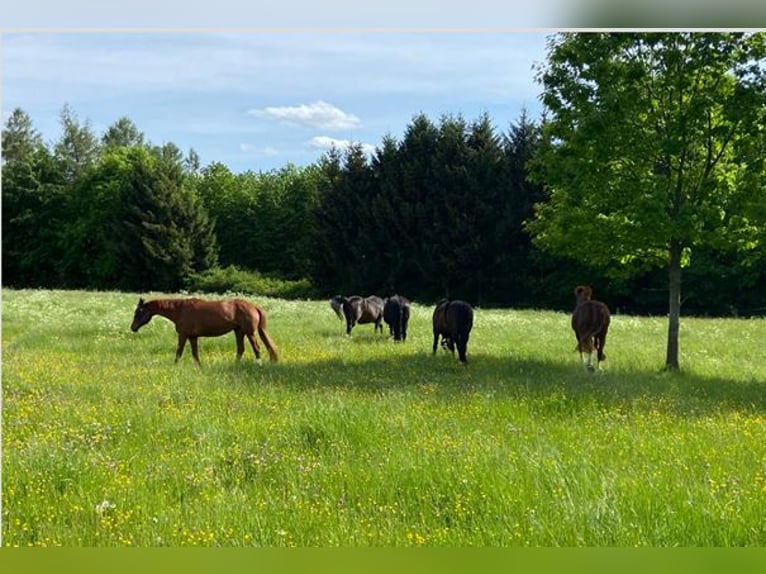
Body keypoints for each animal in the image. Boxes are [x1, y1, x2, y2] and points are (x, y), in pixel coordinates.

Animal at [130, 297, 279, 365]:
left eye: (139, 312)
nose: (132, 327)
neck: (180, 310)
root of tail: (253, 306)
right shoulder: (193, 337)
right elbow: (195, 353)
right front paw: (199, 366)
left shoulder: (183, 335)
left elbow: (179, 352)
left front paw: (175, 365)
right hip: (238, 332)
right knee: (241, 349)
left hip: (249, 332)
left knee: (256, 348)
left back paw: (258, 364)